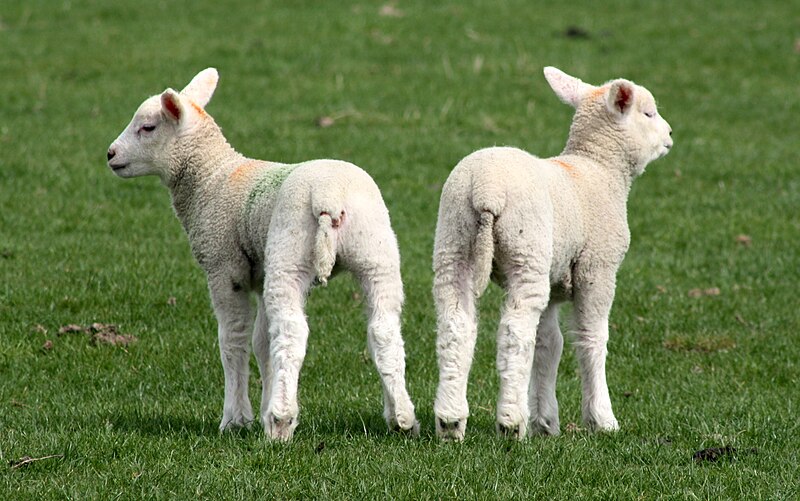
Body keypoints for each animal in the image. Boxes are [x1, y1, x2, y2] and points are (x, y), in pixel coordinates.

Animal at [106, 68, 418, 440]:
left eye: (148, 127)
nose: (110, 154)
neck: (211, 179)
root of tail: (330, 196)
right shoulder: (262, 274)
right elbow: (262, 344)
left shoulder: (224, 266)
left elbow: (234, 339)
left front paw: (236, 418)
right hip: (376, 253)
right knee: (383, 331)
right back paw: (401, 417)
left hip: (289, 254)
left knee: (292, 332)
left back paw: (280, 420)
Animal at [434, 65, 672, 438]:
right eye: (648, 113)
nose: (670, 135)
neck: (598, 169)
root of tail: (485, 189)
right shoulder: (597, 268)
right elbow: (591, 338)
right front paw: (601, 419)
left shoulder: (554, 278)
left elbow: (548, 344)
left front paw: (545, 421)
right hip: (526, 251)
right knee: (515, 331)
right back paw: (510, 422)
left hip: (453, 243)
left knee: (455, 325)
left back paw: (450, 420)